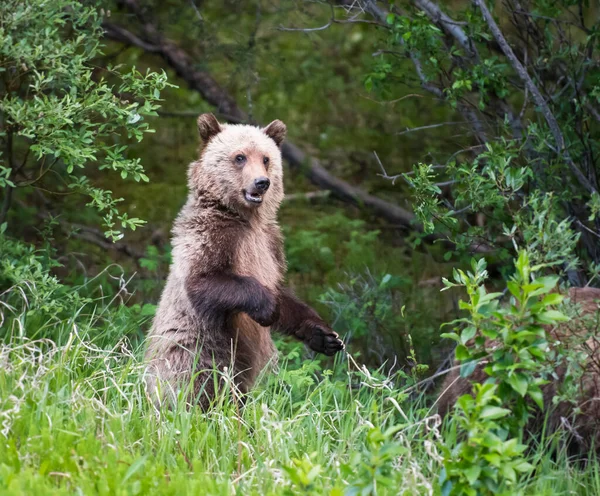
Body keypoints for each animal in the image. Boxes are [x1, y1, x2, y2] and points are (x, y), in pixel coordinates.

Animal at [143, 114, 344, 408]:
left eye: (266, 158)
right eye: (240, 157)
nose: (262, 182)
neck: (244, 218)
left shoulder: (271, 245)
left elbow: (283, 291)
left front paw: (324, 336)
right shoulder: (212, 236)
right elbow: (204, 280)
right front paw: (268, 307)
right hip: (197, 350)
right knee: (194, 387)